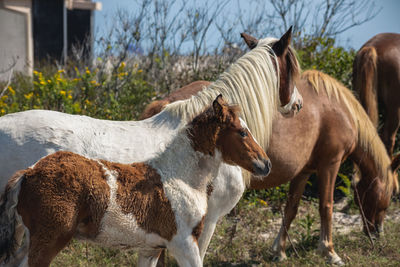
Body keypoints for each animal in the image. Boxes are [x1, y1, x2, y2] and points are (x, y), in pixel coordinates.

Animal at [0, 96, 270, 267]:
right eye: (242, 132)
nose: (265, 164)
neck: (180, 175)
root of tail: (28, 173)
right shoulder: (184, 242)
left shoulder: (151, 249)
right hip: (48, 240)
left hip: (32, 238)